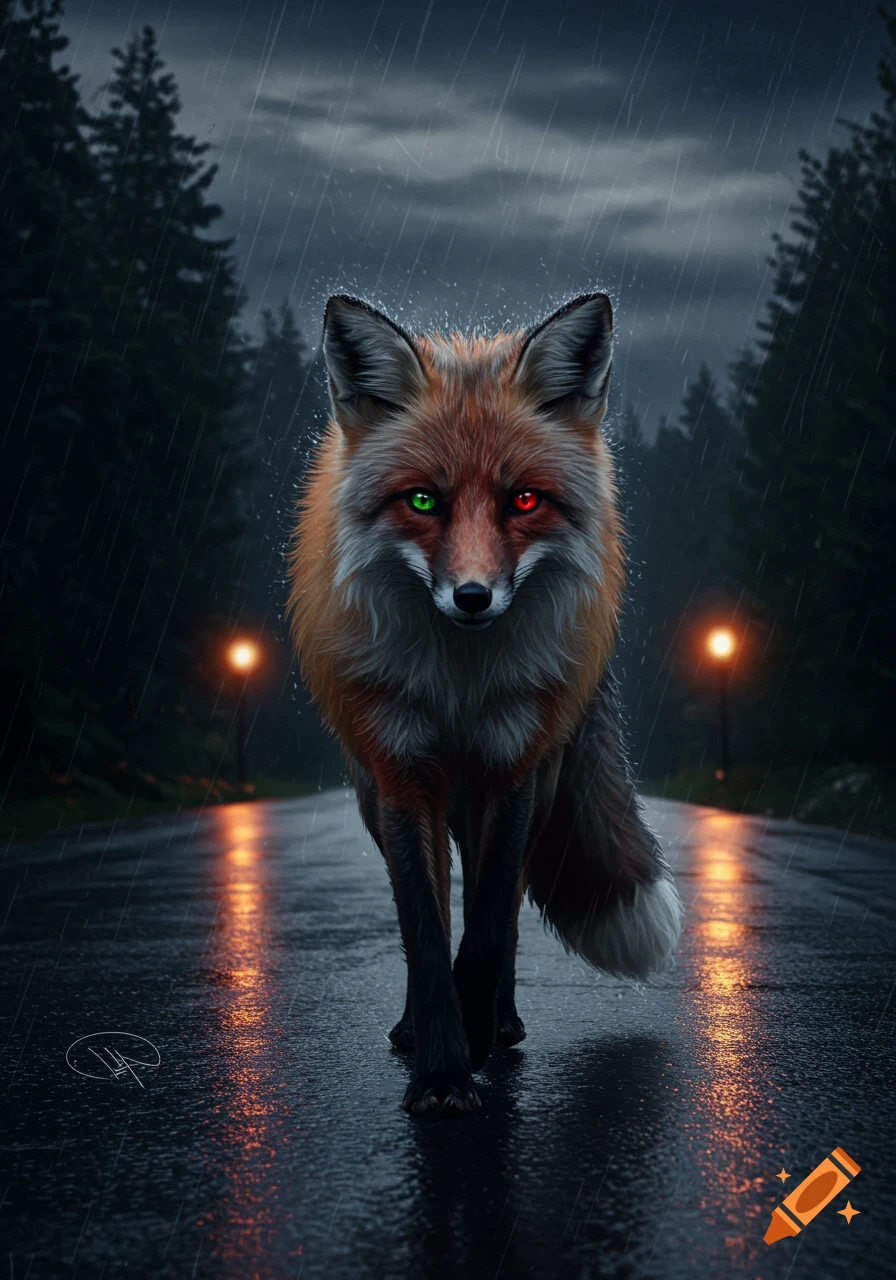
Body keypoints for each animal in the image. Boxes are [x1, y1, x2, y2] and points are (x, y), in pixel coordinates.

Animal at [286, 291, 683, 1114]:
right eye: (422, 500)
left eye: (523, 500)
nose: (472, 598)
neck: (460, 688)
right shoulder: (402, 774)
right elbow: (427, 934)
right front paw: (440, 1069)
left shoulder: (515, 770)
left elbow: (490, 924)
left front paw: (471, 1039)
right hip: (388, 797)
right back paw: (419, 1030)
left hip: (538, 784)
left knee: (501, 919)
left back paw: (500, 1024)